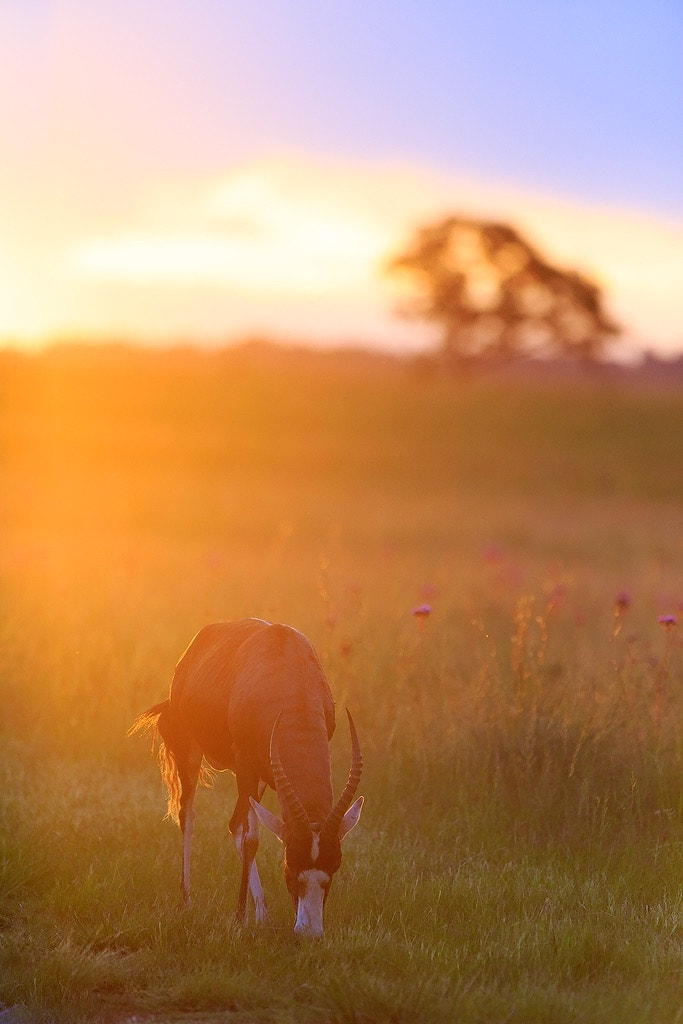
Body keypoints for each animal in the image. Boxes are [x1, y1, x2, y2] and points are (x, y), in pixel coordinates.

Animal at [129, 618, 362, 937]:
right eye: (289, 865)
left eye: (333, 866)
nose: (310, 933)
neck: (286, 668)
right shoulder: (245, 764)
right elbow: (252, 840)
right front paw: (239, 917)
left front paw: (257, 916)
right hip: (192, 753)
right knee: (188, 816)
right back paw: (187, 901)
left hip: (260, 777)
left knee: (234, 824)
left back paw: (263, 914)